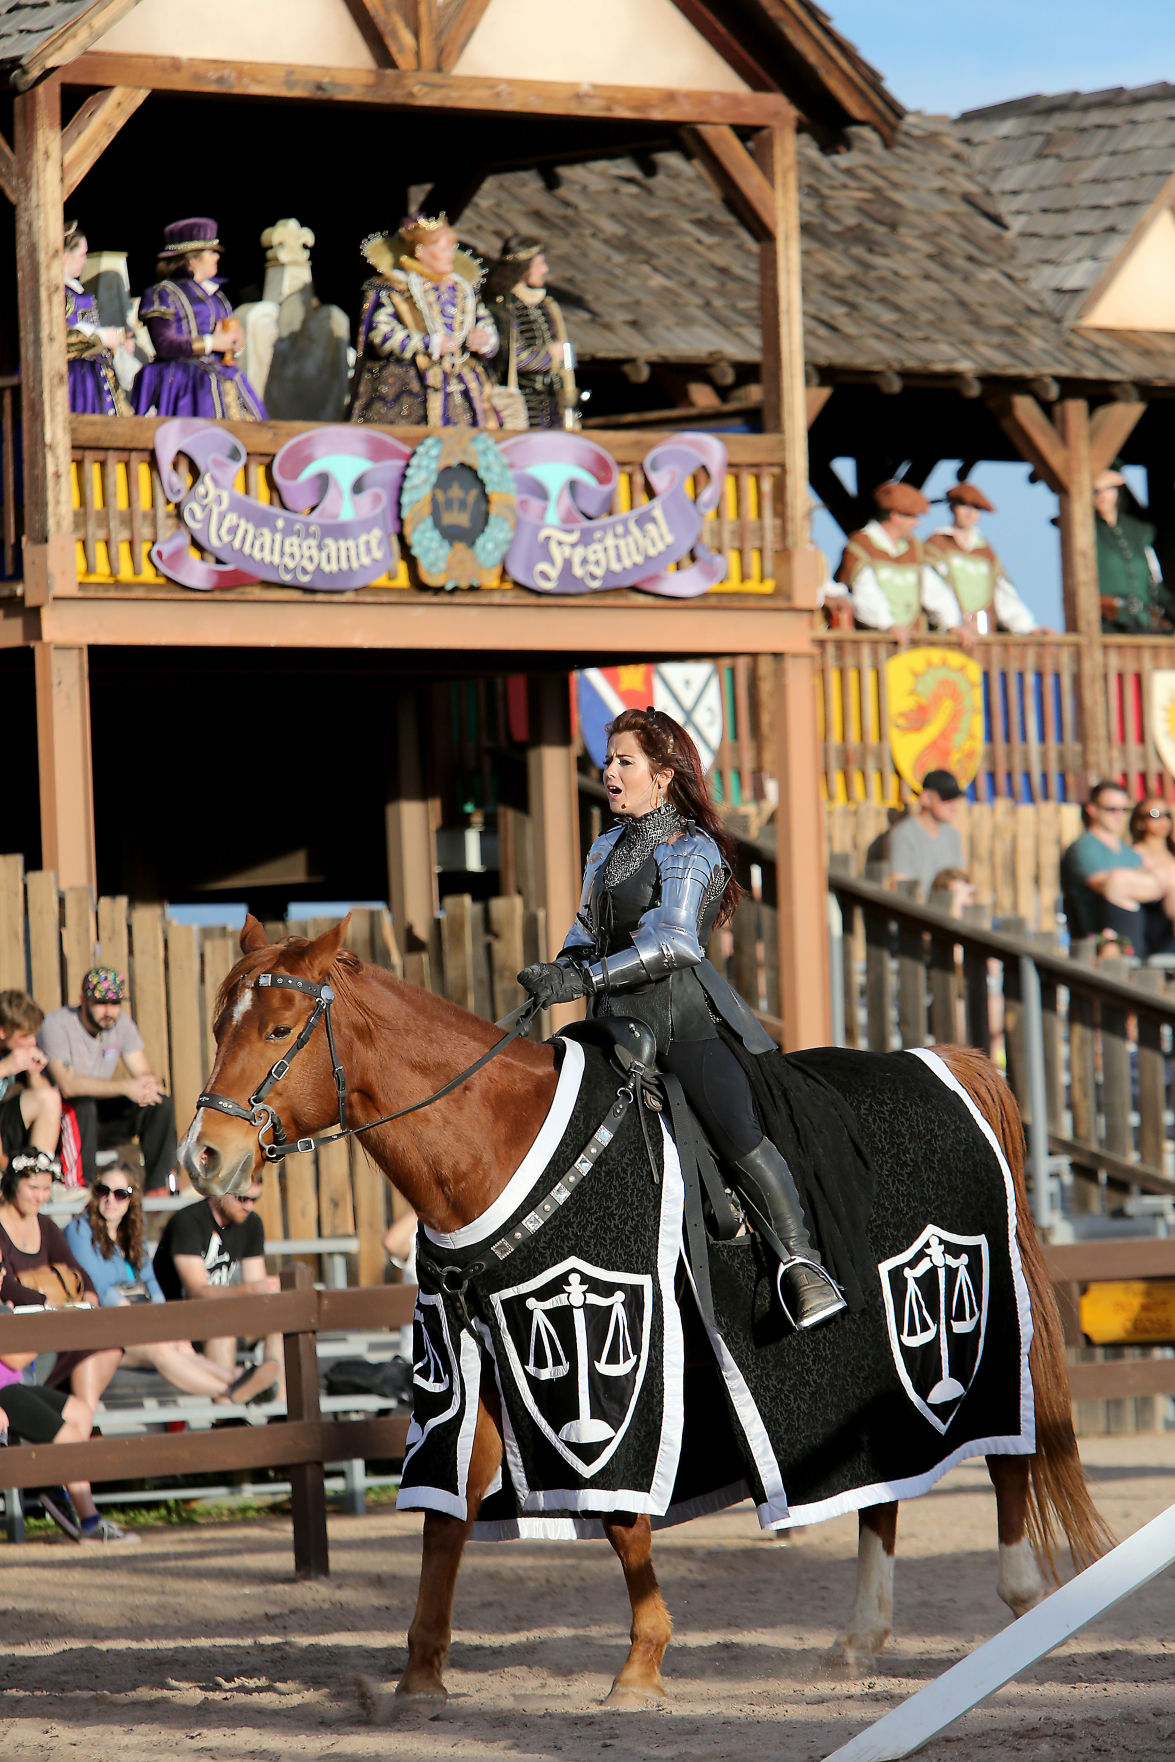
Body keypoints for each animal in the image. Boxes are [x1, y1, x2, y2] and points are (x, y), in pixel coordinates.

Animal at [184, 923, 1113, 1705]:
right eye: (218, 1027)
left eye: (278, 1032)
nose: (204, 1157)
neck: (496, 1141)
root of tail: (941, 1060)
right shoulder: (476, 1362)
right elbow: (445, 1520)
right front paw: (420, 1676)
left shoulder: (623, 1363)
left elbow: (625, 1520)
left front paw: (640, 1665)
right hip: (859, 1357)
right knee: (878, 1482)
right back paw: (858, 1637)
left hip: (969, 1316)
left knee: (1006, 1454)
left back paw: (1020, 1598)